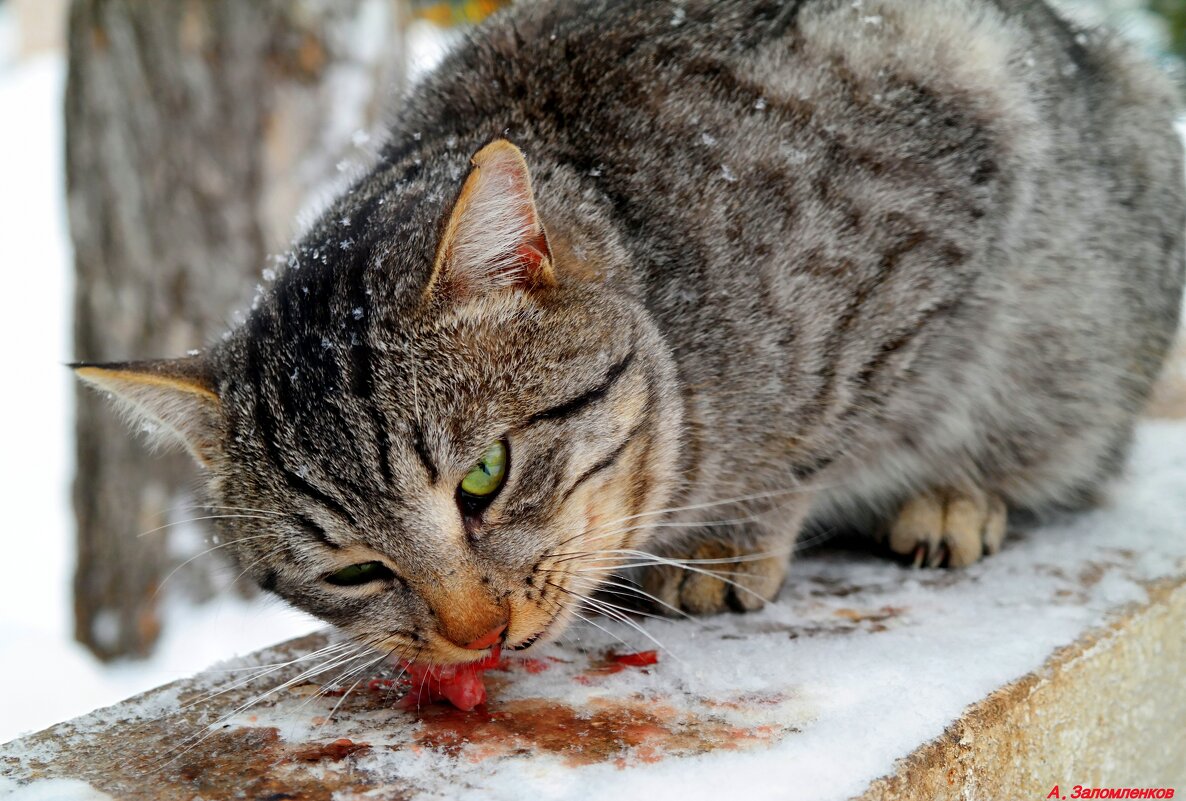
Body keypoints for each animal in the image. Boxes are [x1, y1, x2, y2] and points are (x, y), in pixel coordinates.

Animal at [78, 0, 1181, 664]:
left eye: (484, 478)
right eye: (353, 569)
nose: (477, 636)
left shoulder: (925, 239)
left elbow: (823, 435)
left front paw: (731, 538)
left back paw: (956, 496)